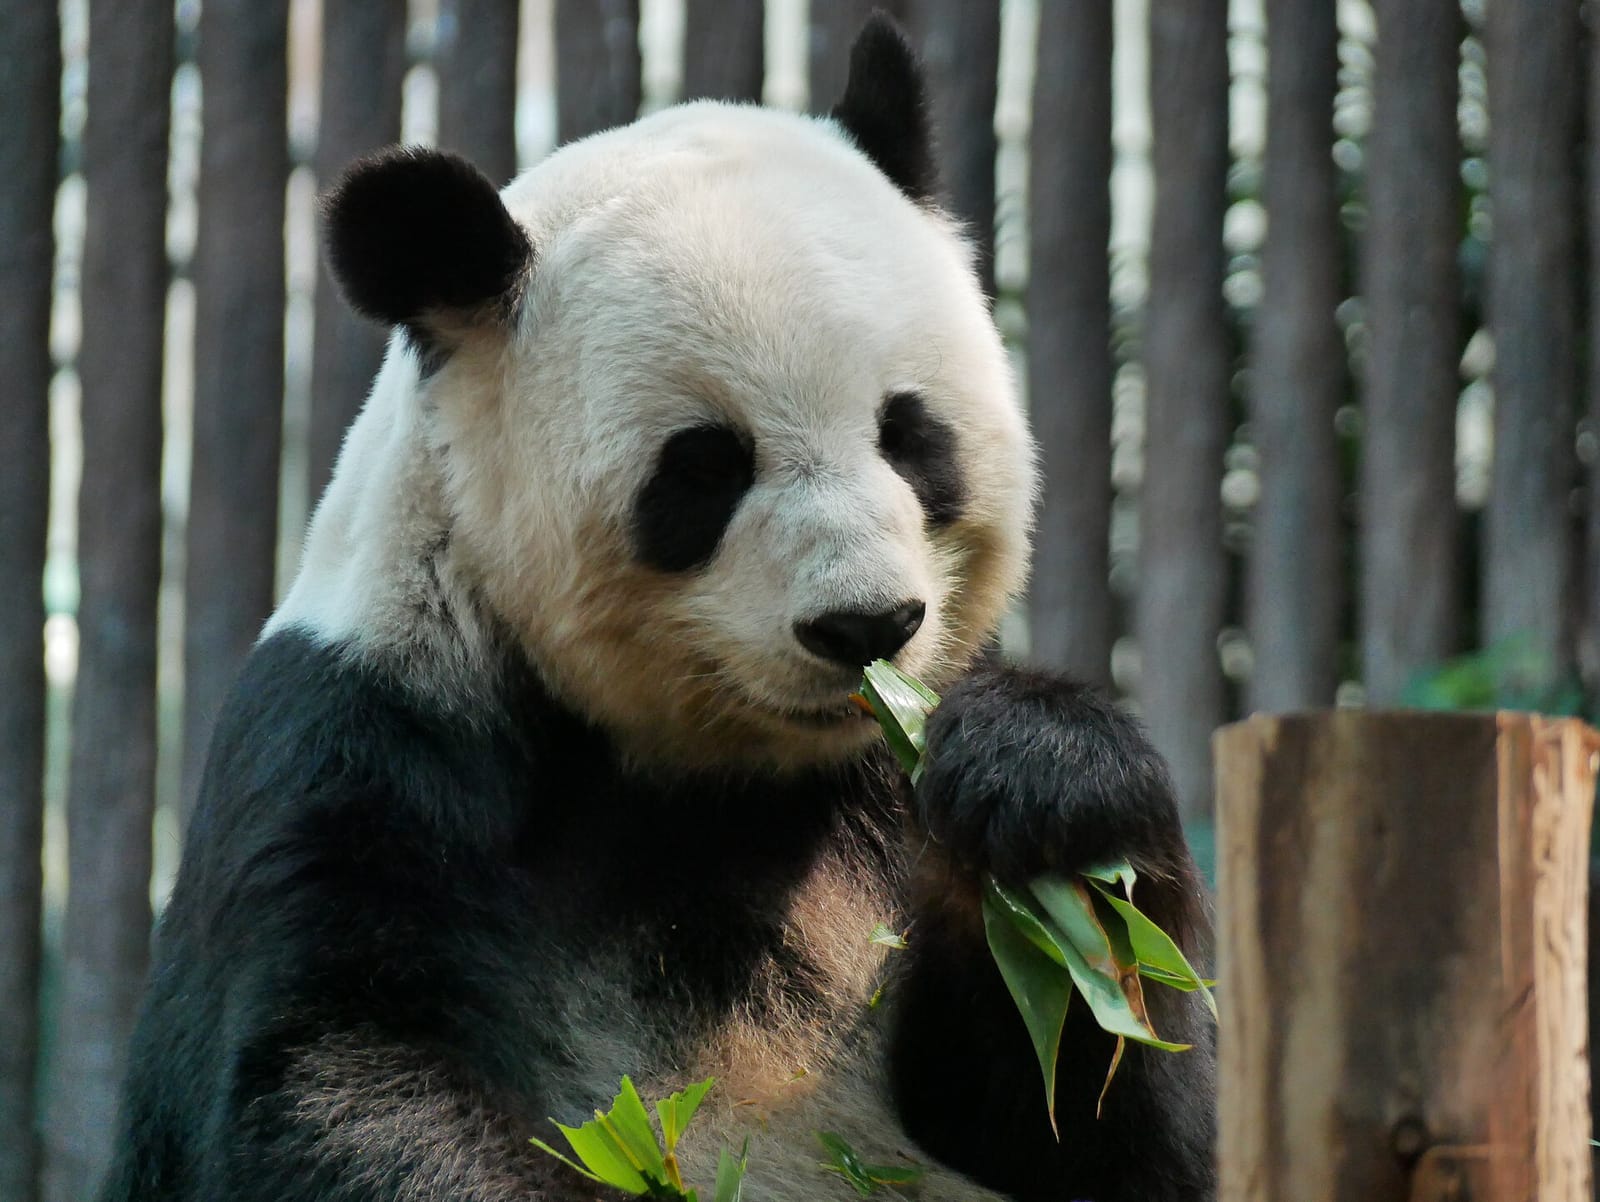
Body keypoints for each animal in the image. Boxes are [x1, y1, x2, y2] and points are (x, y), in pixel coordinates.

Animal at [101, 17, 1215, 1202]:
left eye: (911, 435)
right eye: (705, 468)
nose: (866, 628)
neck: (716, 774)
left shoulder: (881, 800)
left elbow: (1089, 1106)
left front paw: (1038, 781)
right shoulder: (368, 746)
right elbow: (333, 1073)